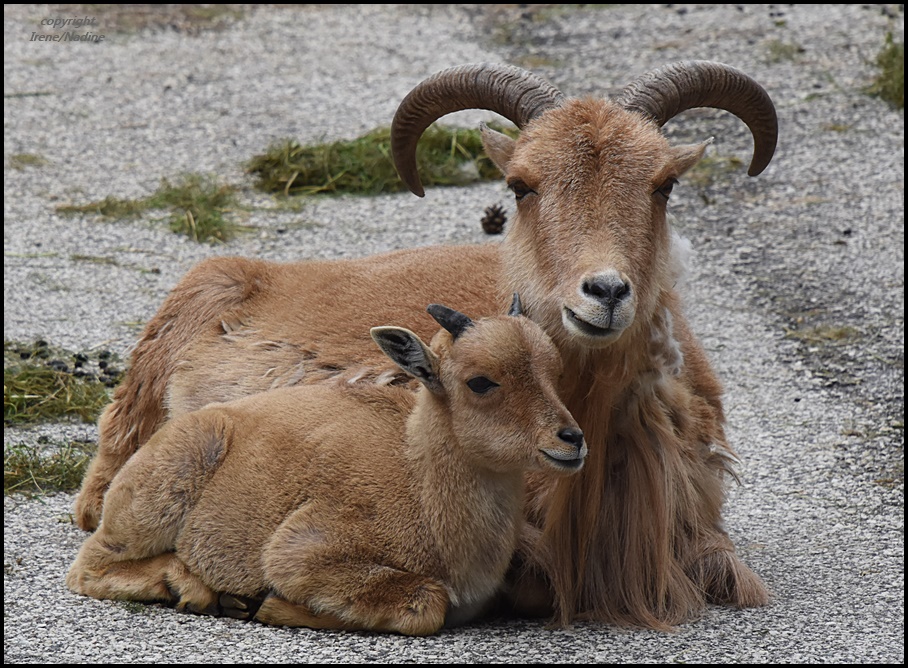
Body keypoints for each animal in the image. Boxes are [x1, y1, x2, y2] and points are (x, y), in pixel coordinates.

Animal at [67, 298, 584, 636]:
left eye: (556, 372)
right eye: (481, 381)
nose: (572, 440)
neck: (420, 491)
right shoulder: (303, 548)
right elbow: (424, 604)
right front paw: (270, 605)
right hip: (159, 496)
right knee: (90, 566)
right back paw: (191, 588)